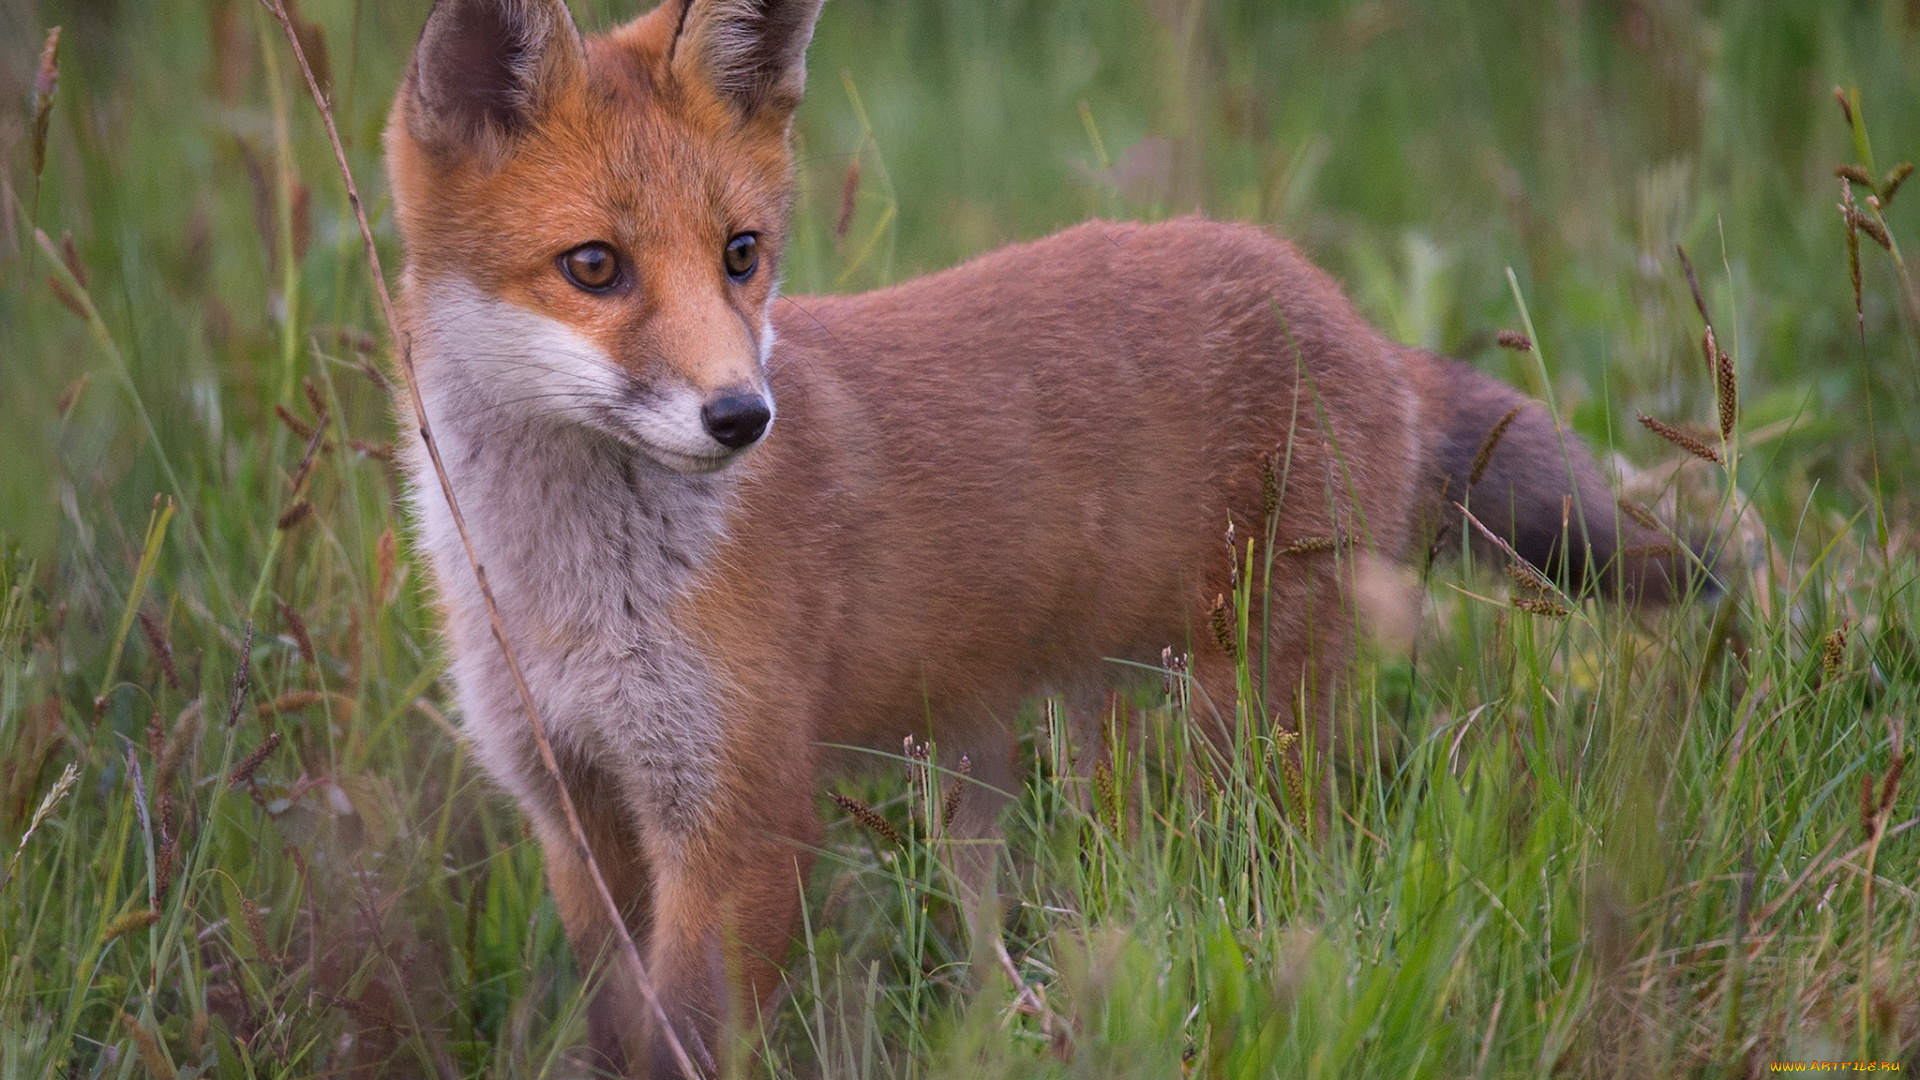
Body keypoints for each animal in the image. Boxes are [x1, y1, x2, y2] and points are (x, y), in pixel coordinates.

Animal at [382, 0, 1704, 1060]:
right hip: (1084, 729)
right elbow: (619, 1027)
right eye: (593, 266)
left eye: (740, 255)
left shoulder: (738, 819)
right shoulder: (574, 810)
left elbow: (691, 1040)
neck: (569, 600)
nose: (742, 417)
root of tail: (1354, 320)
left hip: (1245, 726)